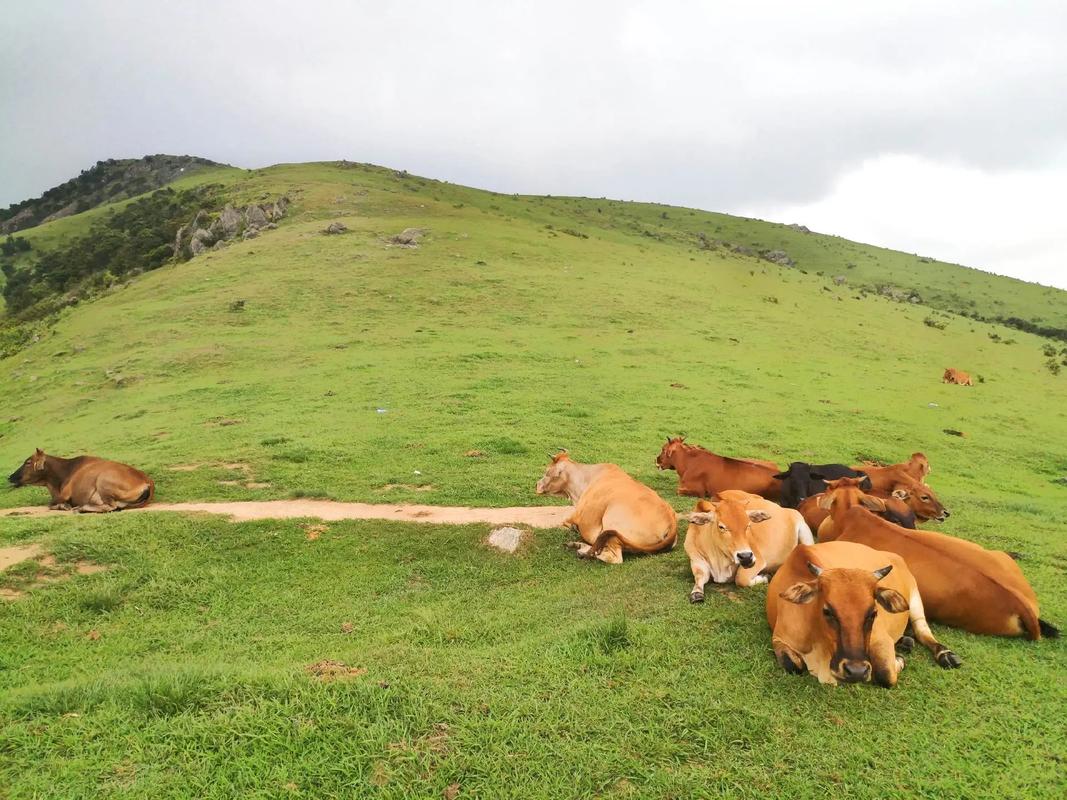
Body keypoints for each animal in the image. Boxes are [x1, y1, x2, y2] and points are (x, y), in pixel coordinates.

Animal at [8, 452, 155, 514]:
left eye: (28, 462)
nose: (10, 477)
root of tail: (148, 481)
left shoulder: (64, 494)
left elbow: (49, 504)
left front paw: (64, 506)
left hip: (103, 481)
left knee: (111, 506)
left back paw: (81, 508)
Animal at [533, 454, 674, 567]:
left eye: (546, 471)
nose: (537, 485)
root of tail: (671, 519)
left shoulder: (573, 518)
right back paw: (577, 545)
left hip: (612, 524)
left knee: (612, 557)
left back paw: (583, 552)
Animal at [768, 539, 960, 691]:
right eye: (827, 611)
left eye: (873, 613)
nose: (857, 671)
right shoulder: (779, 639)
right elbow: (793, 665)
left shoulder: (880, 639)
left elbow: (885, 674)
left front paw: (898, 660)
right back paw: (906, 641)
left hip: (914, 596)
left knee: (922, 629)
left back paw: (945, 654)